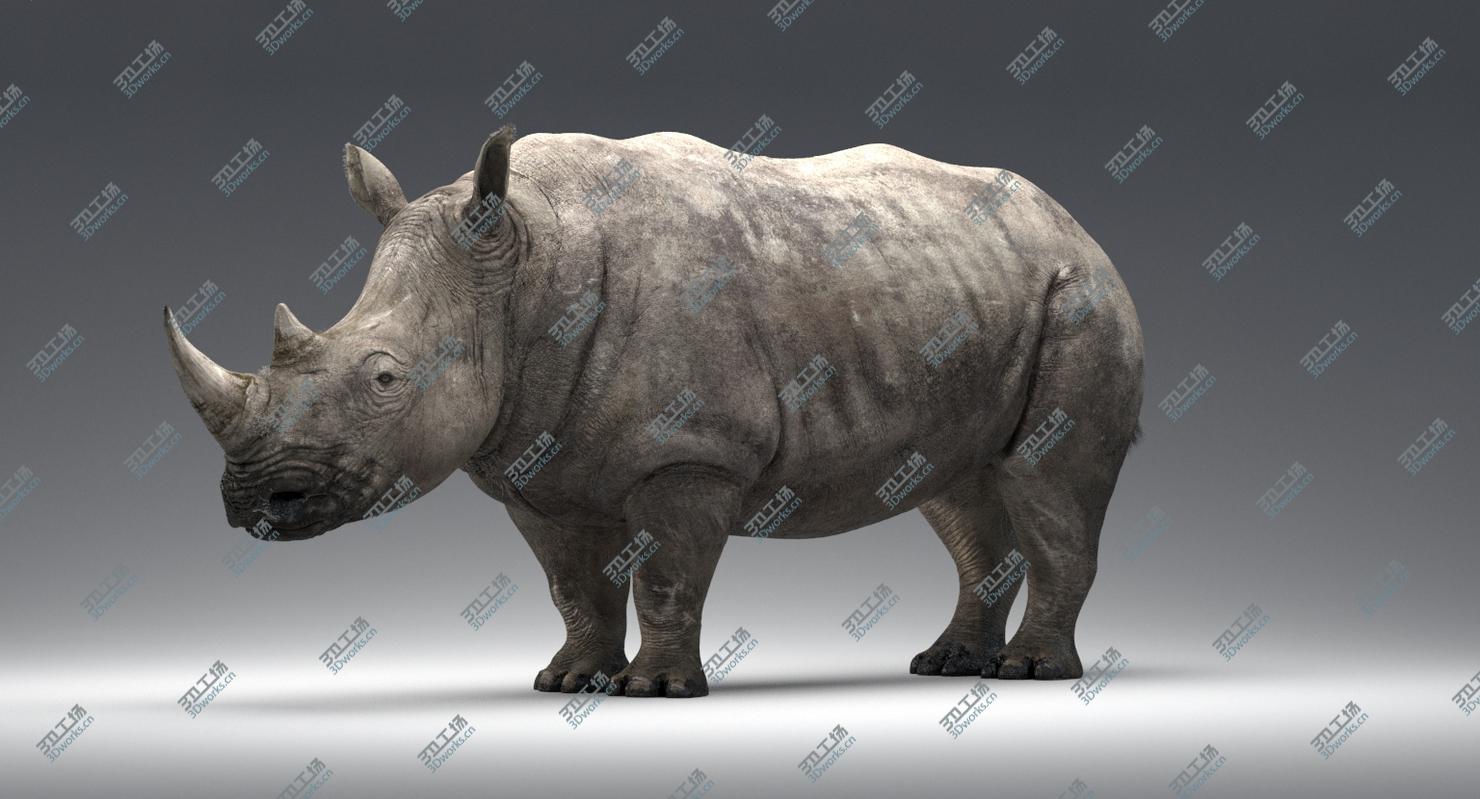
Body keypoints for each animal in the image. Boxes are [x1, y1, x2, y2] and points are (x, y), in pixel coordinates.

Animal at [164, 125, 1143, 698]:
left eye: (383, 379)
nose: (254, 502)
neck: (524, 263)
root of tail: (1078, 225)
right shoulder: (533, 460)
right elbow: (573, 583)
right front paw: (568, 680)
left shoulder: (694, 452)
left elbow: (666, 575)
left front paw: (658, 689)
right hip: (963, 290)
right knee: (959, 490)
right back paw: (947, 665)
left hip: (1080, 296)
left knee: (1050, 481)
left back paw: (1031, 672)